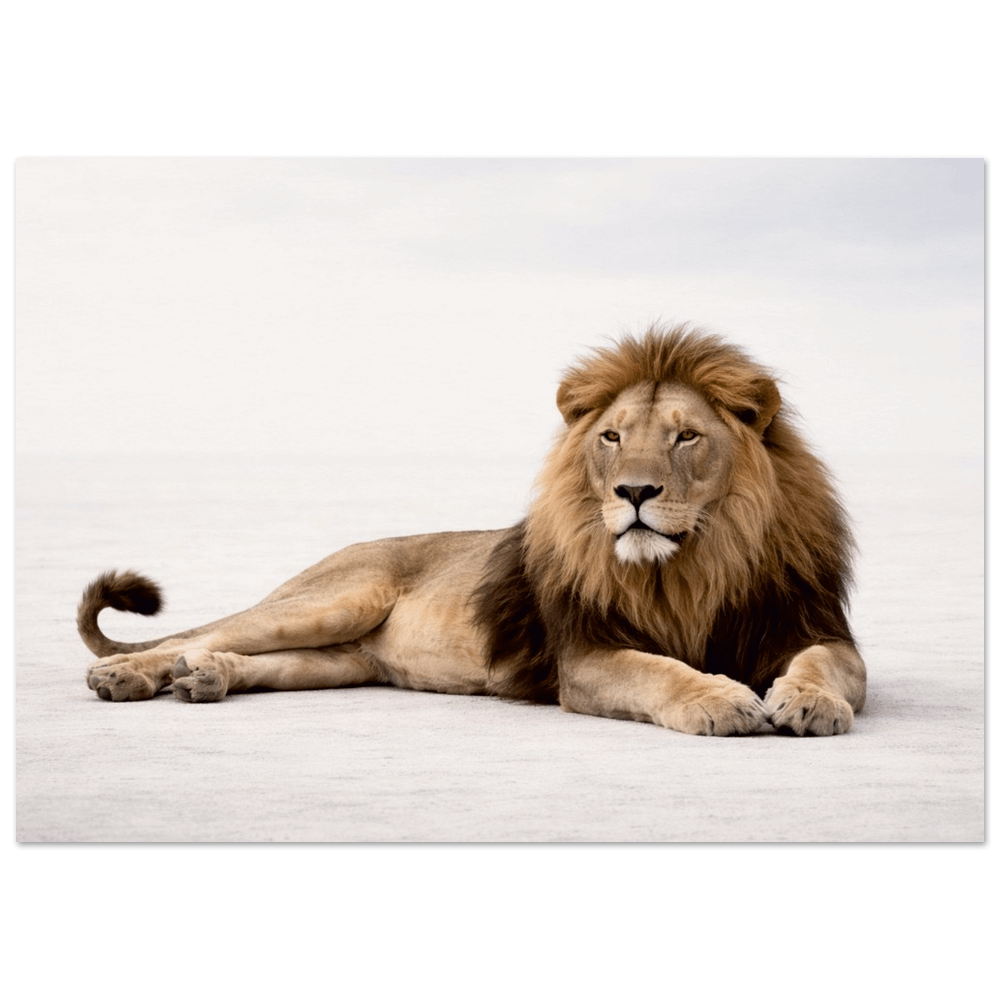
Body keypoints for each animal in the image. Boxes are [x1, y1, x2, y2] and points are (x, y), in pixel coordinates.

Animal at [80, 325, 866, 736]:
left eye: (686, 437)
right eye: (612, 436)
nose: (635, 493)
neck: (694, 563)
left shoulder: (814, 627)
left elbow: (826, 667)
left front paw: (808, 702)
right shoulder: (588, 656)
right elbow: (660, 670)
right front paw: (720, 699)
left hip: (344, 657)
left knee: (251, 658)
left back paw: (206, 678)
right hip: (334, 599)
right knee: (198, 633)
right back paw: (126, 675)